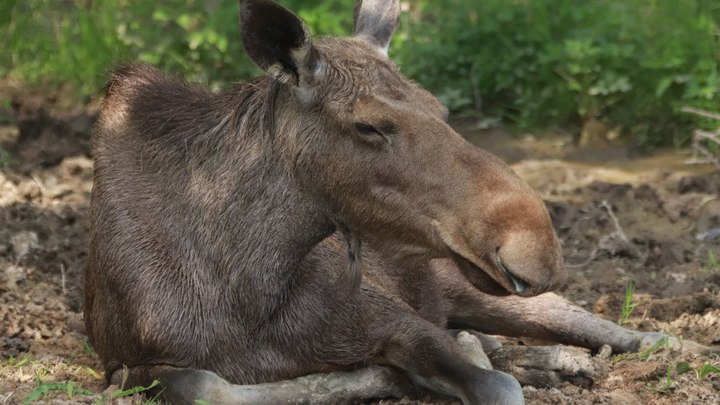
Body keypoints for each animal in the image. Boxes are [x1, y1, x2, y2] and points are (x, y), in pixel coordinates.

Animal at [83, 0, 696, 404]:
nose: (534, 244)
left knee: (597, 323)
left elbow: (493, 383)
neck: (252, 288)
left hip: (472, 288)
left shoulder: (396, 321)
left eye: (441, 108)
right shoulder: (124, 364)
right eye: (369, 125)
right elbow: (210, 385)